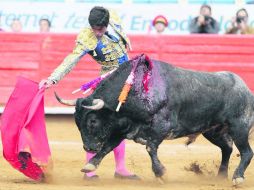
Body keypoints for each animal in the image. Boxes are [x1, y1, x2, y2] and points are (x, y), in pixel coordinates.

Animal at [55, 54, 254, 185]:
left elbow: (150, 147)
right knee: (227, 148)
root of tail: (246, 90)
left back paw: (237, 177)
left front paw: (161, 173)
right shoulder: (122, 128)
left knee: (246, 152)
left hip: (239, 127)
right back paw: (221, 176)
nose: (88, 147)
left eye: (92, 121)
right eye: (77, 123)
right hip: (213, 130)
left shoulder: (162, 126)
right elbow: (108, 147)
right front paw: (90, 166)